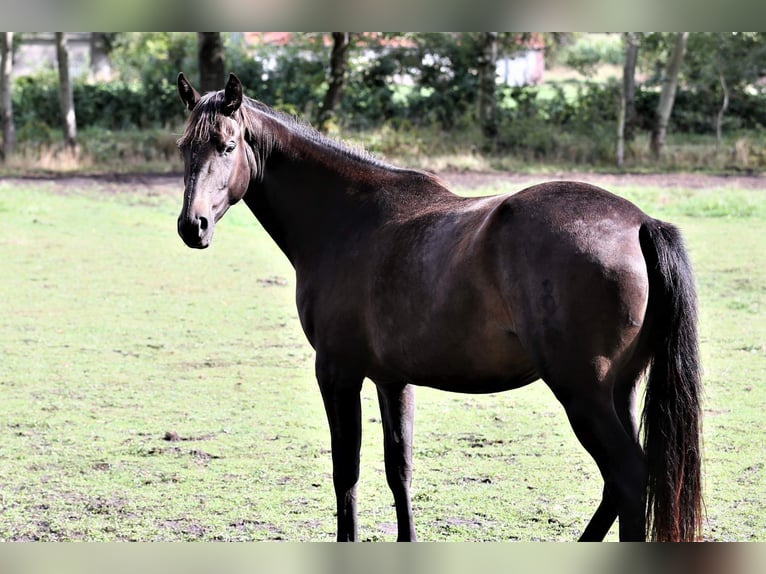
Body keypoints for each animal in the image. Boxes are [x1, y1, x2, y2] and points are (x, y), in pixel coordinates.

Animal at [177, 73, 704, 544]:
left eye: (227, 146)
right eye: (185, 148)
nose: (191, 225)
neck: (348, 220)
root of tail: (639, 223)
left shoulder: (337, 372)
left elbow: (346, 470)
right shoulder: (392, 379)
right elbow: (399, 468)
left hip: (583, 392)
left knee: (628, 477)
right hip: (620, 390)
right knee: (622, 482)